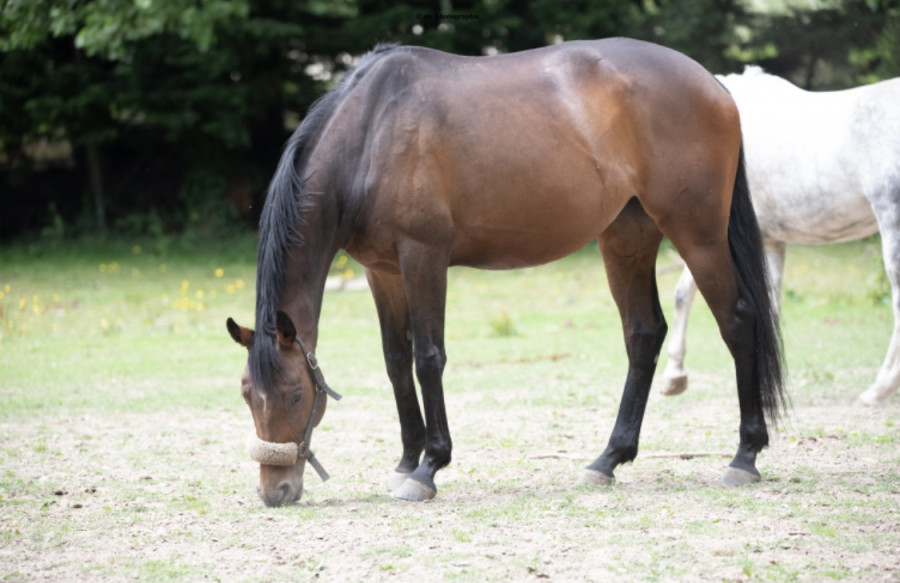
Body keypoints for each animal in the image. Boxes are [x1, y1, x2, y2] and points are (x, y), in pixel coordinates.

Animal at [226, 38, 787, 507]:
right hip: (626, 238)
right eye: (247, 394)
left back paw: (744, 457)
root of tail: (713, 84)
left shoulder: (423, 257)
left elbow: (428, 358)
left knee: (738, 321)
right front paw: (406, 461)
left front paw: (428, 468)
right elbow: (396, 362)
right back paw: (608, 460)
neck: (371, 133)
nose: (276, 490)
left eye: (297, 395)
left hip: (698, 235)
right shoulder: (382, 272)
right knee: (643, 334)